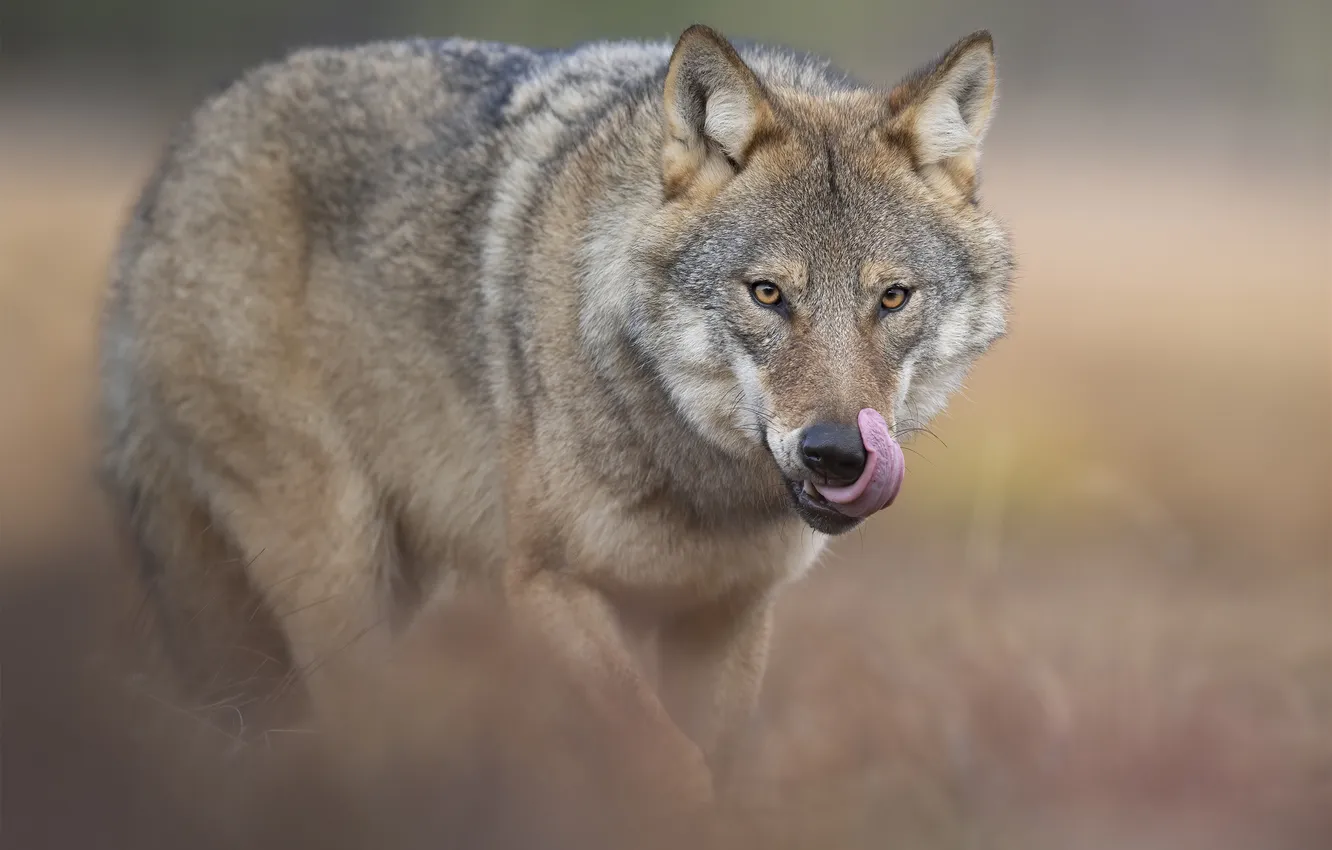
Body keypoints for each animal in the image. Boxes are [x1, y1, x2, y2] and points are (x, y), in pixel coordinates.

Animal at [97, 23, 1013, 800]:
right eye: (767, 294)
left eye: (892, 299)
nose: (837, 455)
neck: (698, 482)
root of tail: (173, 161)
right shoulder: (542, 584)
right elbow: (670, 763)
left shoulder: (726, 612)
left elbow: (712, 760)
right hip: (333, 557)